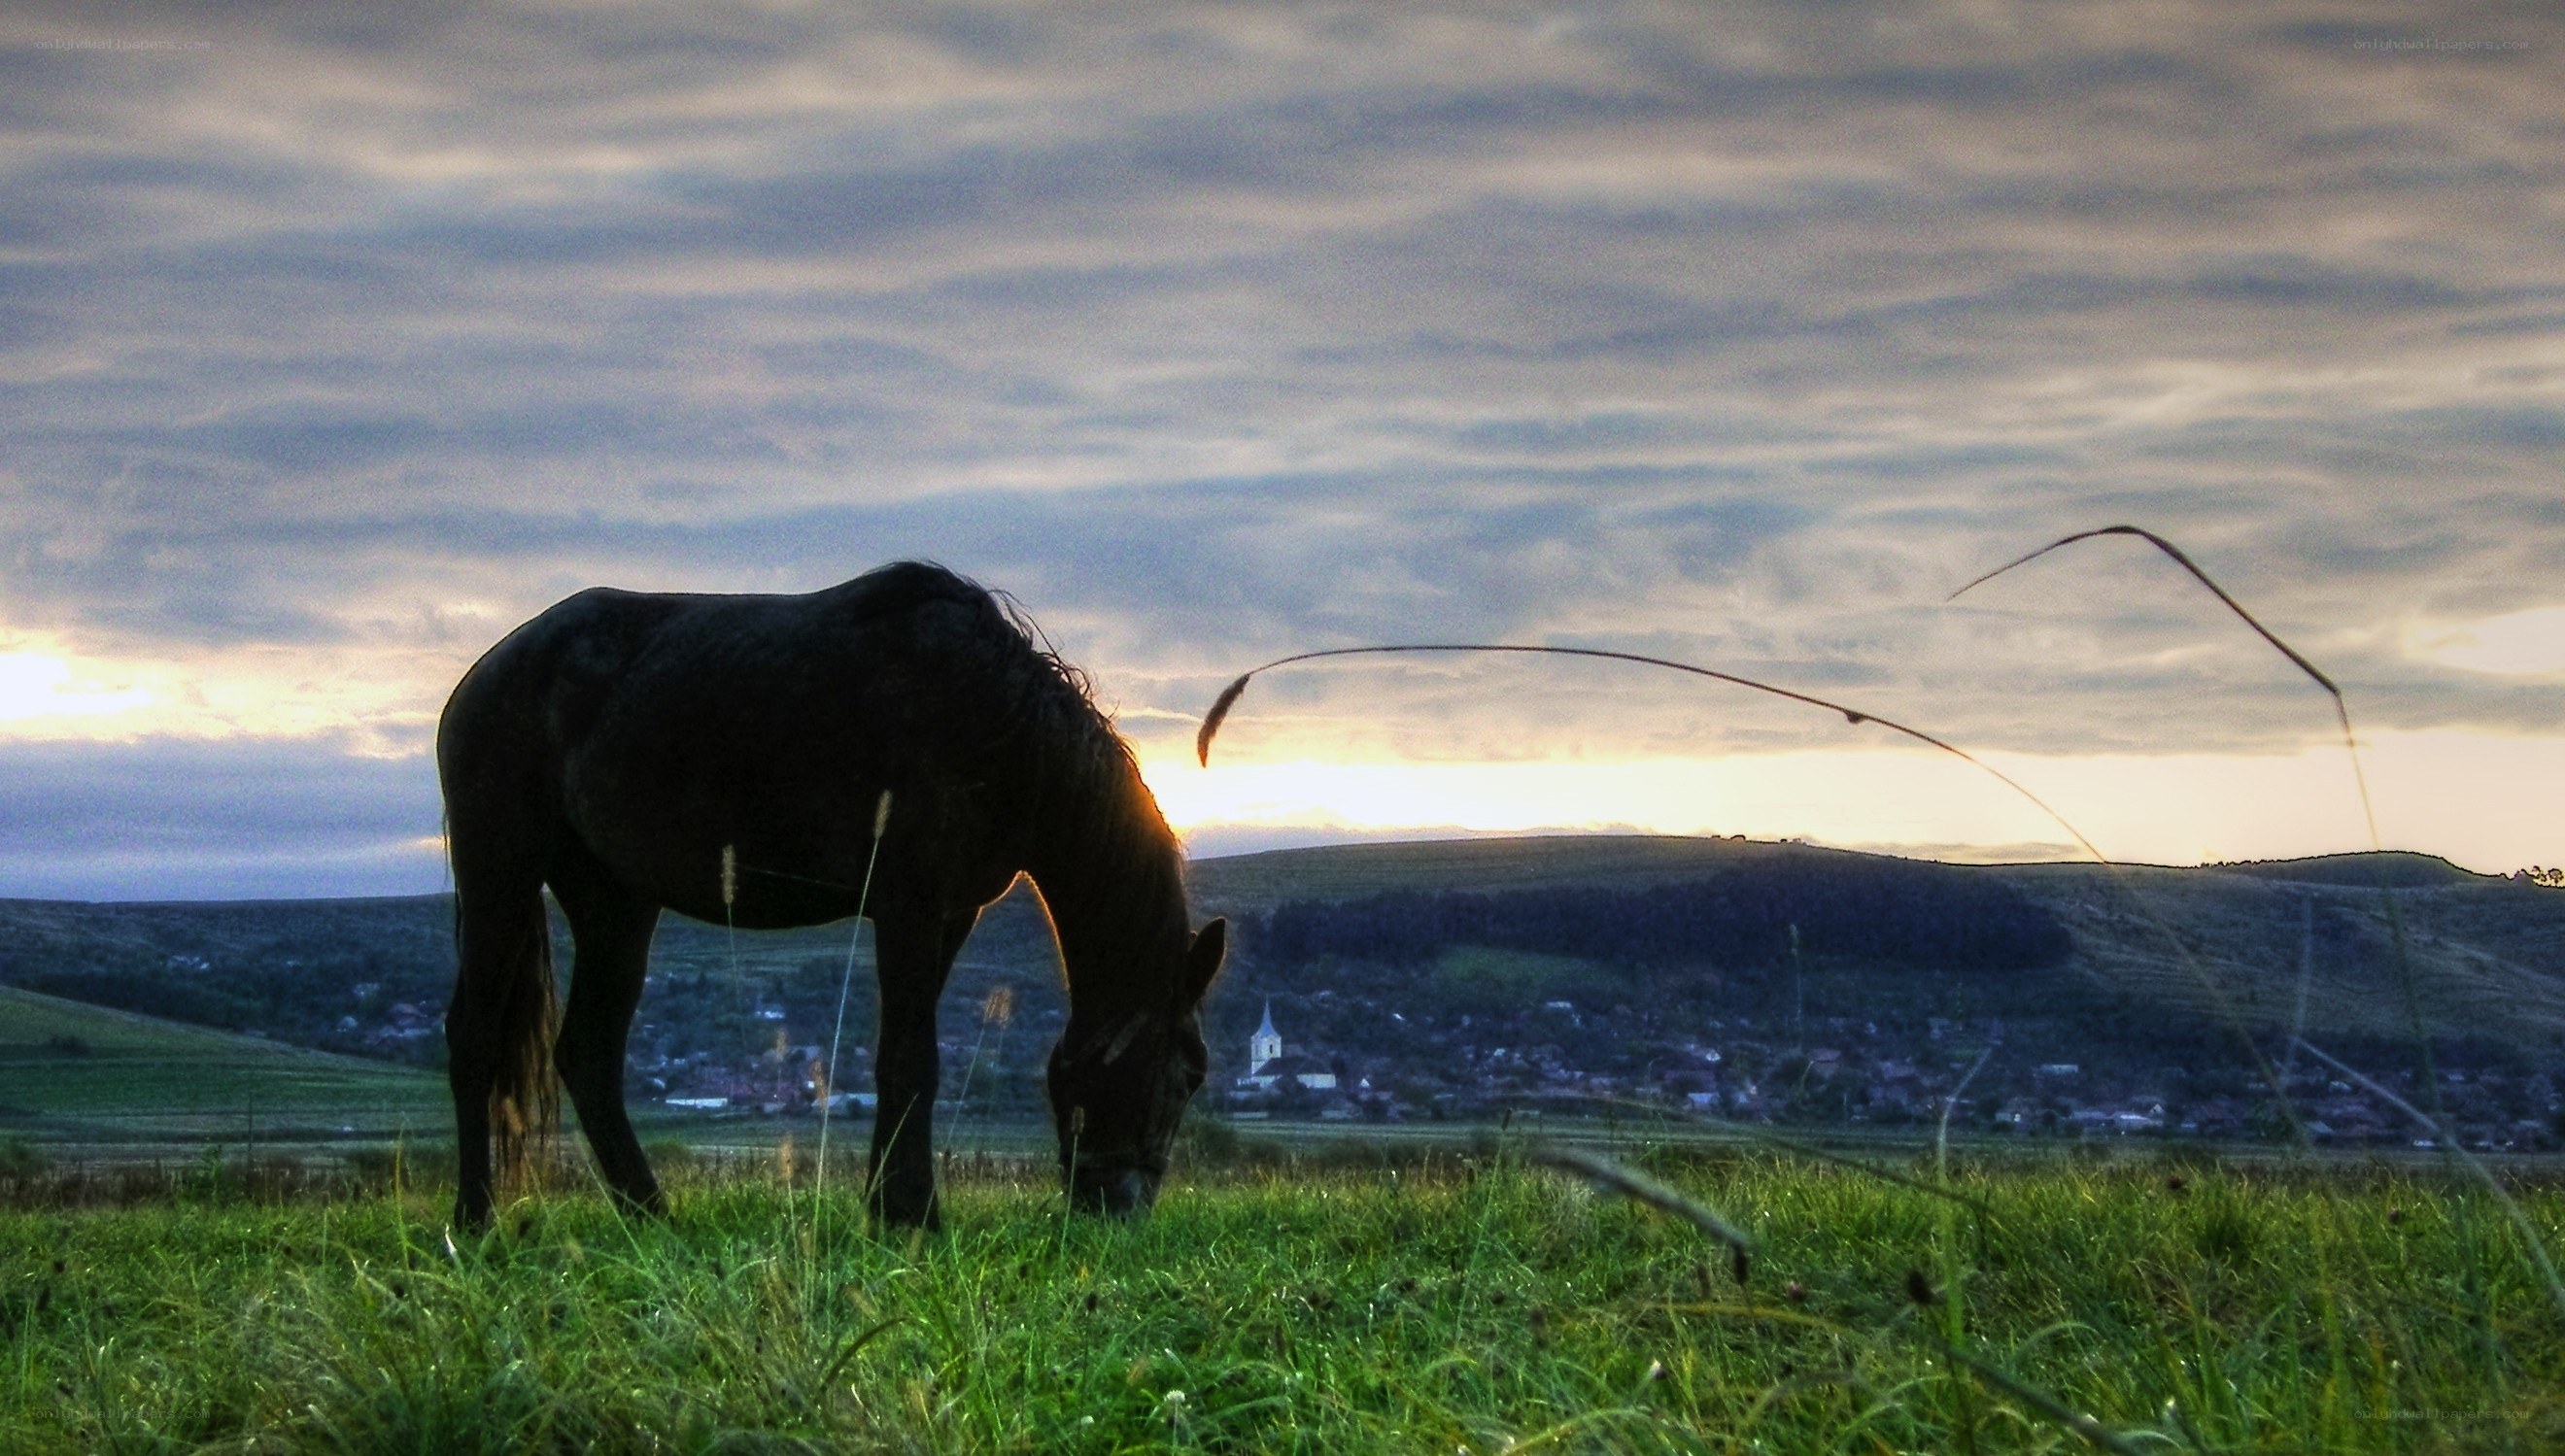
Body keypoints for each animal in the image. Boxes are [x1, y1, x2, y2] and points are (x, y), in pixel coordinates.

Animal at [436, 560, 1226, 1230]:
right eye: (1188, 1072)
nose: (1119, 1205)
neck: (997, 724)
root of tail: (482, 674)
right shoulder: (908, 904)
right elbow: (912, 1058)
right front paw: (915, 1216)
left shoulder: (950, 914)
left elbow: (900, 1059)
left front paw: (887, 1209)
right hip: (500, 873)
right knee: (474, 1038)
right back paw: (475, 1222)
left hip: (614, 904)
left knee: (589, 1054)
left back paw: (651, 1217)